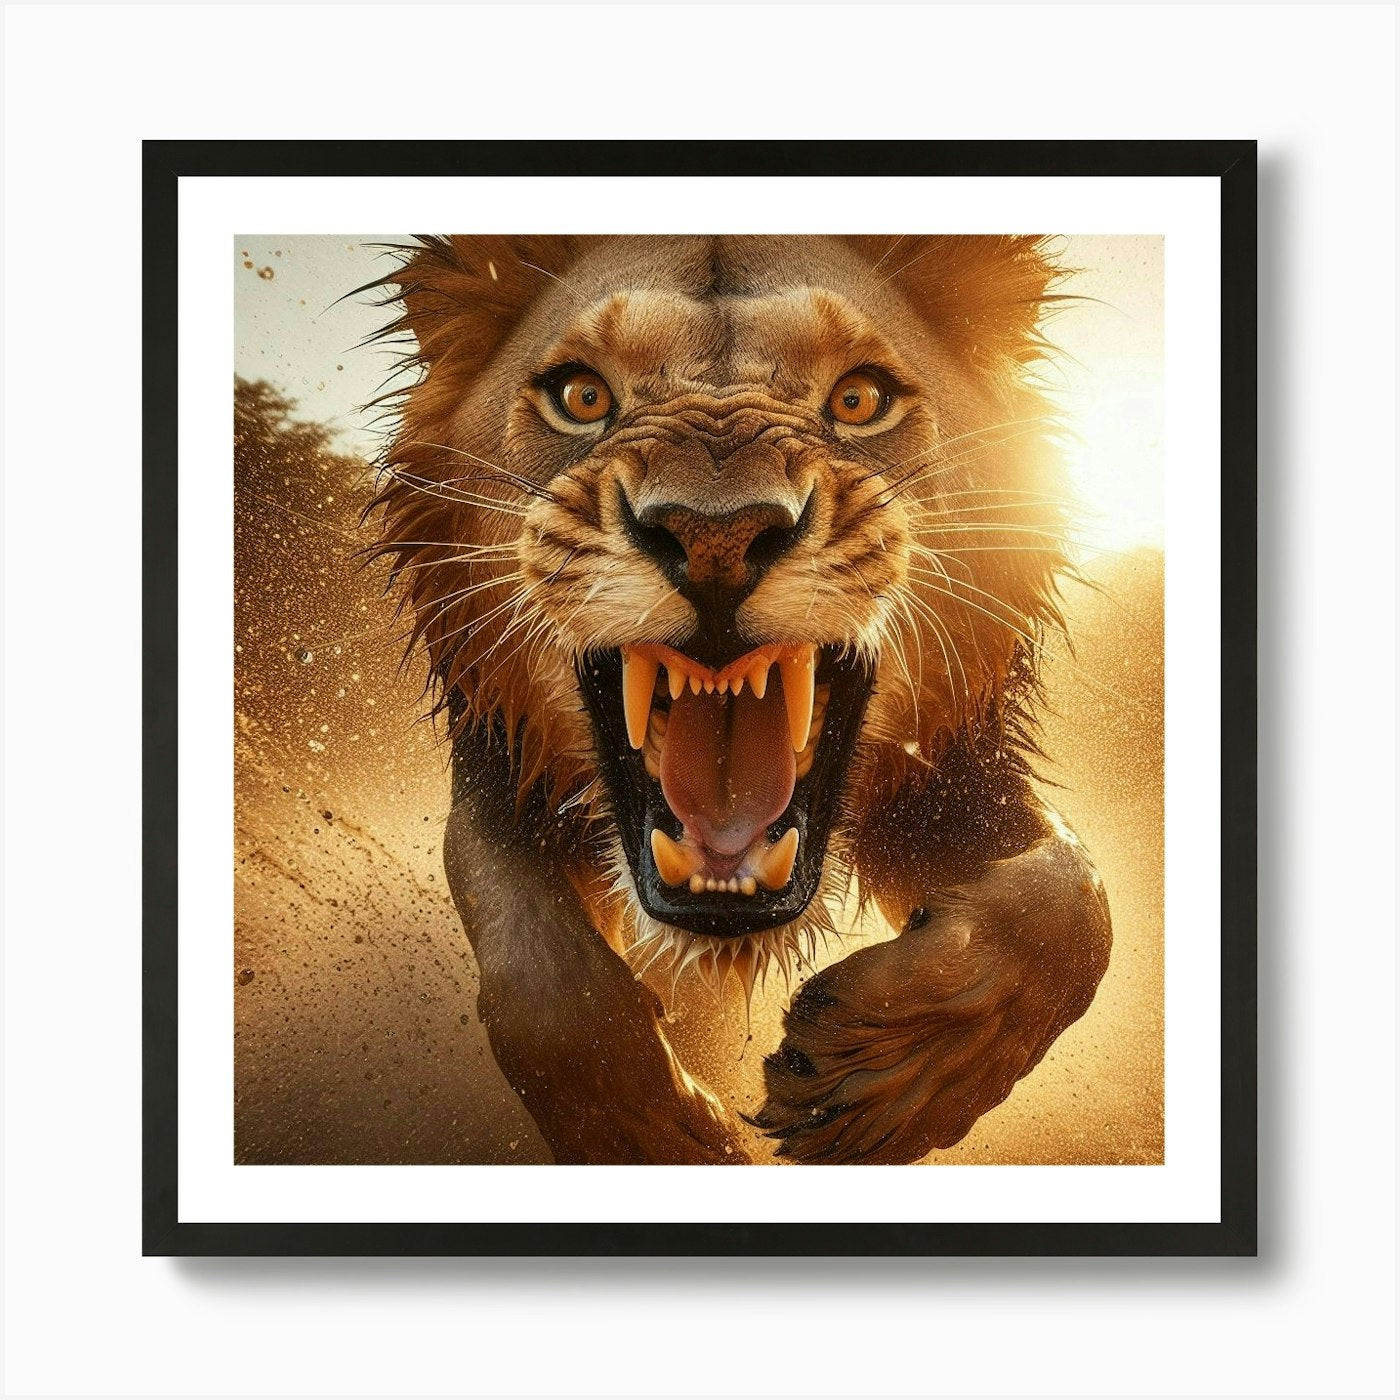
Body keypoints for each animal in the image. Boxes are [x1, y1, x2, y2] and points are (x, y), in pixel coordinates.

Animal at [365, 235, 1112, 1164]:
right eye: (582, 396)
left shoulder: (955, 786)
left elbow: (1074, 906)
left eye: (859, 400)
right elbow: (539, 978)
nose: (715, 536)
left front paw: (886, 1077)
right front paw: (666, 1141)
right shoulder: (503, 779)